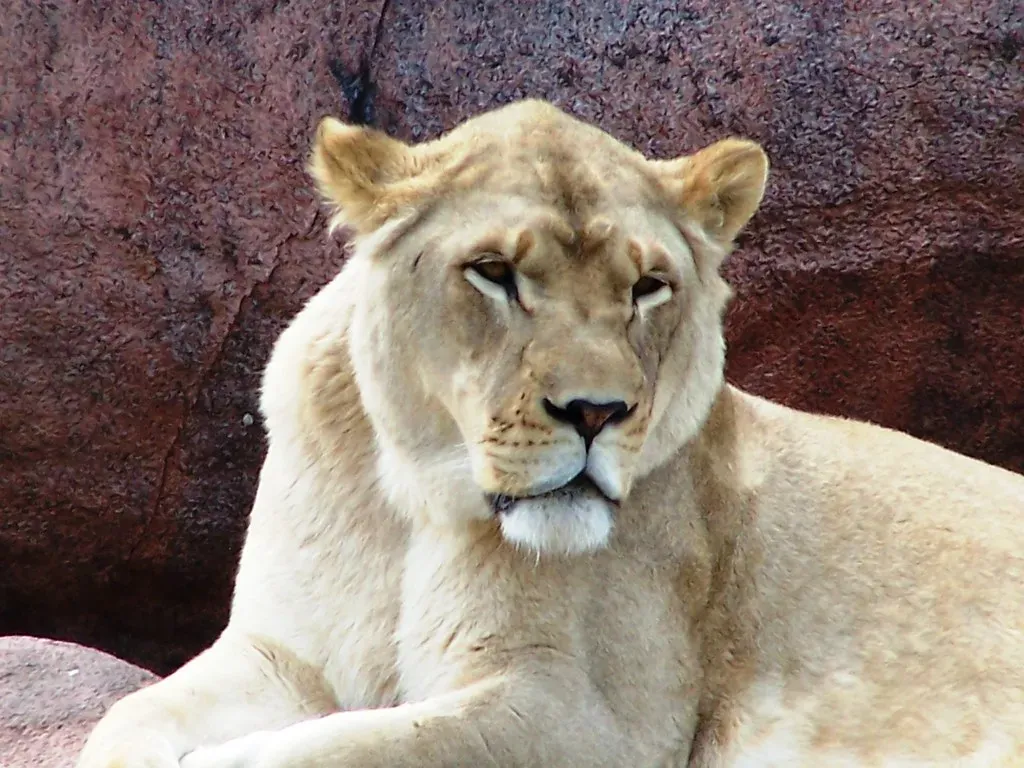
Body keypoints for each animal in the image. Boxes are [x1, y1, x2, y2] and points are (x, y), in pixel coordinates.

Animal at [78, 100, 1024, 768]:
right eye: (494, 272)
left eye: (647, 286)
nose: (597, 412)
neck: (410, 502)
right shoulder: (280, 654)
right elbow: (125, 717)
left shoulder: (593, 716)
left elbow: (363, 746)